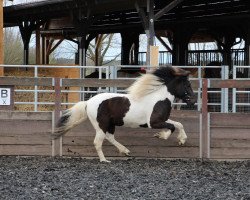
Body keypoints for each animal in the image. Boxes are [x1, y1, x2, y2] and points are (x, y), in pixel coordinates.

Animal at [53, 66, 196, 162]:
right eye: (187, 85)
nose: (193, 101)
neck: (159, 98)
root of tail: (88, 102)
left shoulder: (162, 119)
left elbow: (178, 124)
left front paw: (182, 140)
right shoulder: (153, 123)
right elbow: (171, 127)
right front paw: (161, 135)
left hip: (110, 124)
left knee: (109, 137)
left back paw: (125, 151)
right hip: (101, 125)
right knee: (98, 142)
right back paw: (105, 160)